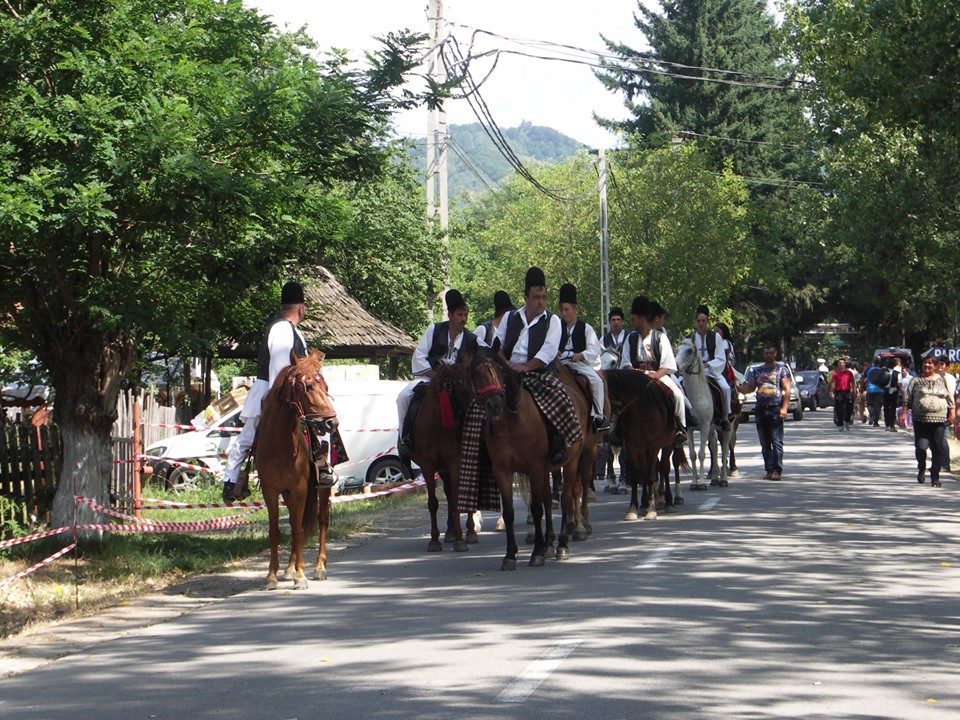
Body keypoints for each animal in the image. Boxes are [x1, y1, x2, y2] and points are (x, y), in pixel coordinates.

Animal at [256, 349, 339, 590]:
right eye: (307, 386)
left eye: (326, 386)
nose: (332, 423)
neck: (280, 444)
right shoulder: (271, 491)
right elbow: (276, 530)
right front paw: (271, 575)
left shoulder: (301, 488)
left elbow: (299, 529)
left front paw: (301, 576)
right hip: (287, 493)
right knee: (295, 521)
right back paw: (290, 568)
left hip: (322, 488)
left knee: (321, 520)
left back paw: (319, 567)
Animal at [605, 369, 685, 520]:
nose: (606, 433)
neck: (641, 410)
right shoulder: (633, 446)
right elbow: (637, 475)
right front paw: (634, 508)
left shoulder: (654, 445)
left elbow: (651, 475)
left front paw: (651, 510)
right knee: (646, 468)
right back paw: (645, 503)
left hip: (668, 444)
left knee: (665, 467)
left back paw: (669, 502)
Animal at [675, 338, 733, 491]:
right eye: (677, 349)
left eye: (689, 350)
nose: (675, 366)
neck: (697, 395)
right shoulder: (689, 429)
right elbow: (693, 454)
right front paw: (694, 482)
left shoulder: (705, 426)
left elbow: (701, 454)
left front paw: (701, 482)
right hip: (712, 429)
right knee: (714, 447)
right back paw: (715, 478)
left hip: (727, 427)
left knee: (725, 449)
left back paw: (723, 479)